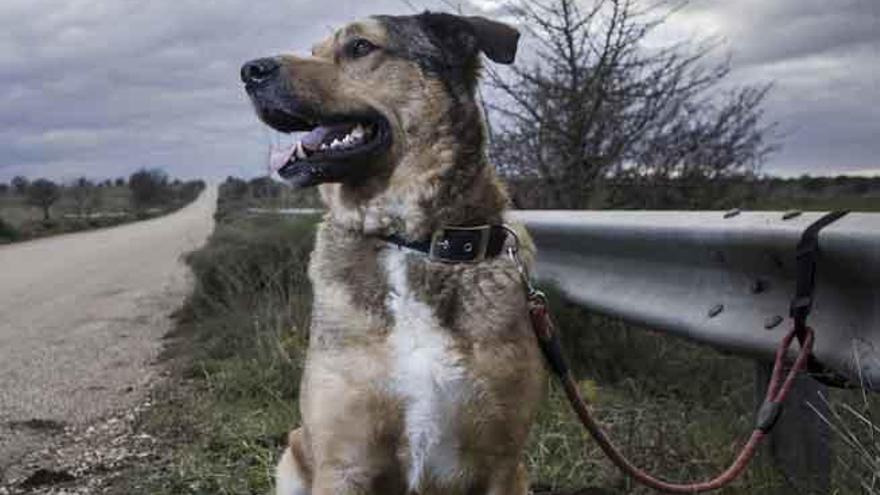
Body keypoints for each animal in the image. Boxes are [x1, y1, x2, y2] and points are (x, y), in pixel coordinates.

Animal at [241, 11, 544, 495]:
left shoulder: (503, 464)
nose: (249, 71)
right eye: (314, 50)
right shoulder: (343, 462)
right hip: (293, 457)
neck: (409, 240)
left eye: (360, 47)